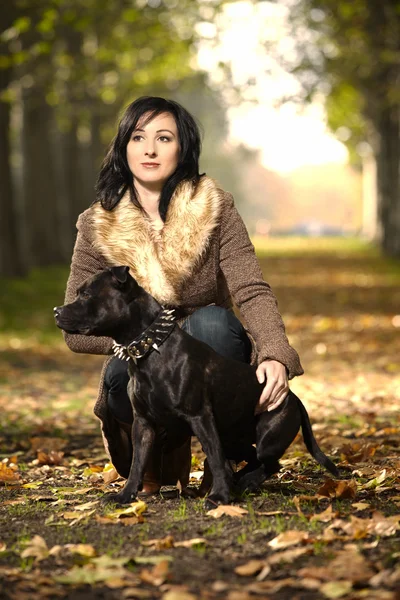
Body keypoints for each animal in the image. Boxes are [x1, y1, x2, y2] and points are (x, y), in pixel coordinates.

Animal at [54, 268, 340, 506]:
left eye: (87, 294)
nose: (57, 310)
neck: (150, 349)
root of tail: (293, 397)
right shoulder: (143, 424)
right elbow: (137, 463)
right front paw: (125, 496)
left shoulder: (199, 416)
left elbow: (214, 457)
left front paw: (220, 498)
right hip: (233, 438)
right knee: (250, 458)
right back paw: (240, 482)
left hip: (267, 437)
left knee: (270, 463)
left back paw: (242, 483)